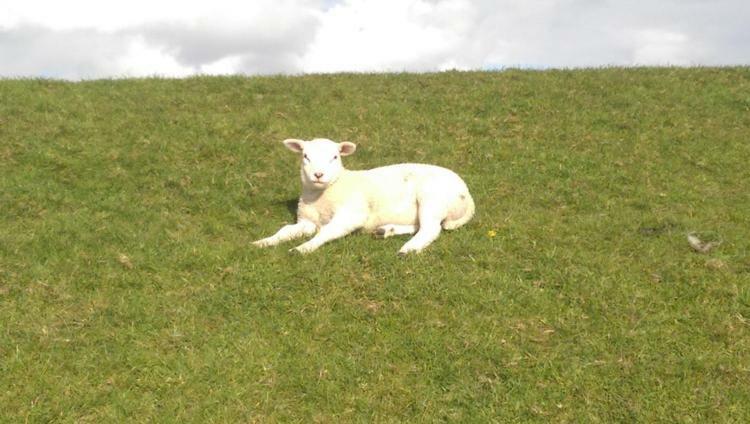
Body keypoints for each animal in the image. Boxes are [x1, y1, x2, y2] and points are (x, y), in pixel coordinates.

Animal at [254, 138, 476, 255]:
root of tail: (467, 194)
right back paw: (386, 230)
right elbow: (284, 231)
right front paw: (263, 242)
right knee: (419, 225)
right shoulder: (306, 221)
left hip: (432, 198)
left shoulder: (352, 214)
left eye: (335, 157)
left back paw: (408, 249)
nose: (318, 174)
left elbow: (326, 232)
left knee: (430, 229)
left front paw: (303, 248)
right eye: (305, 156)